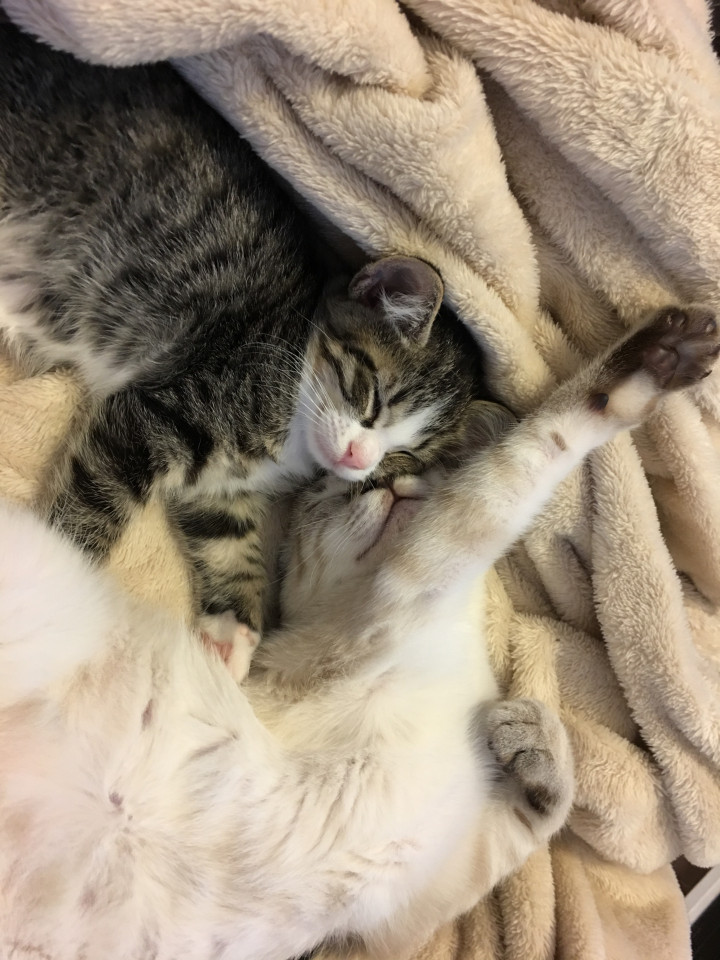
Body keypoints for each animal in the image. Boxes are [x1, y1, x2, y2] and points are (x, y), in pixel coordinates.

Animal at [0, 20, 492, 645]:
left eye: (407, 457)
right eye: (373, 397)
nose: (357, 459)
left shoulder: (218, 486)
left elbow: (228, 539)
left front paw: (233, 631)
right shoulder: (163, 407)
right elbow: (97, 501)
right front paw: (58, 589)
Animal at [0, 304, 715, 960]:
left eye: (413, 463)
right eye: (338, 494)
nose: (387, 482)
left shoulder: (403, 916)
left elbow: (524, 828)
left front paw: (534, 746)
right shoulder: (406, 591)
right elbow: (530, 458)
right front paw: (661, 356)